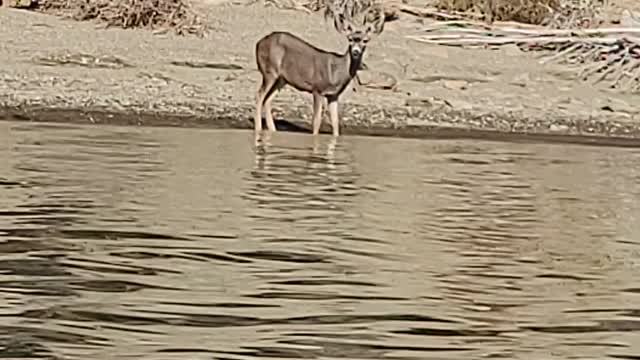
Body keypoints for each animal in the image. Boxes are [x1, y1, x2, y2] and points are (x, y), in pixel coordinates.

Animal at [254, 7, 384, 136]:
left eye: (365, 40)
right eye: (350, 39)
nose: (356, 51)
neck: (336, 72)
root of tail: (258, 43)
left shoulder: (334, 95)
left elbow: (335, 123)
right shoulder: (317, 88)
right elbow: (316, 121)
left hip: (282, 79)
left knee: (268, 99)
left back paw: (272, 130)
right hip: (269, 71)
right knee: (260, 95)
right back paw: (258, 129)